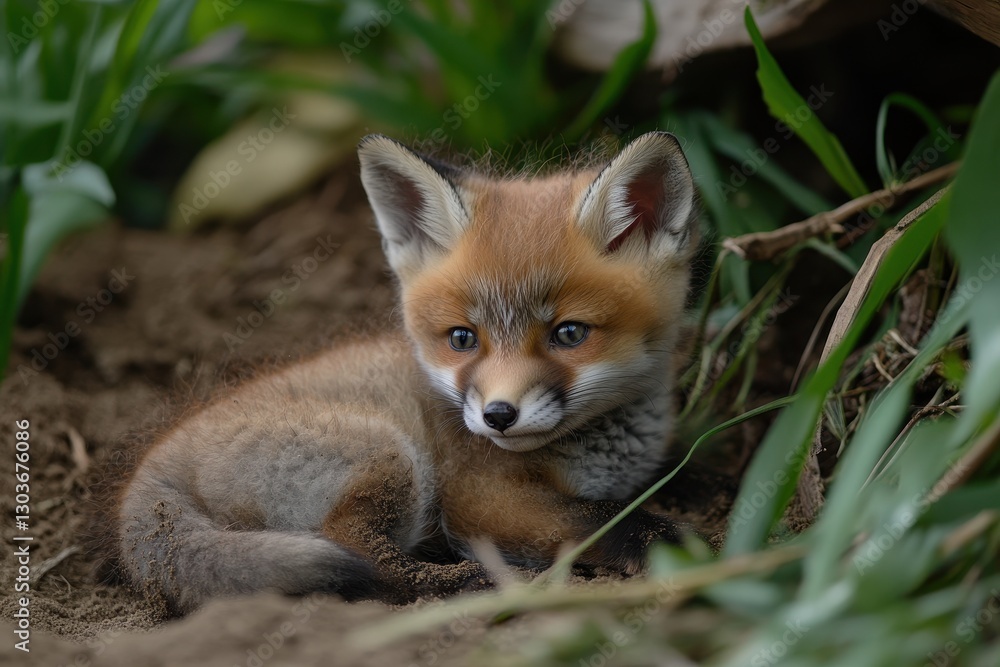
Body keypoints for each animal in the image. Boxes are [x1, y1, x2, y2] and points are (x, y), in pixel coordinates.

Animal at [106, 131, 700, 614]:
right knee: (363, 556)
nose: (498, 416)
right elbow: (606, 516)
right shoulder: (481, 498)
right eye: (462, 339)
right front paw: (677, 543)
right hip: (389, 452)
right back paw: (459, 585)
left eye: (570, 334)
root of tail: (152, 474)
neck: (606, 447)